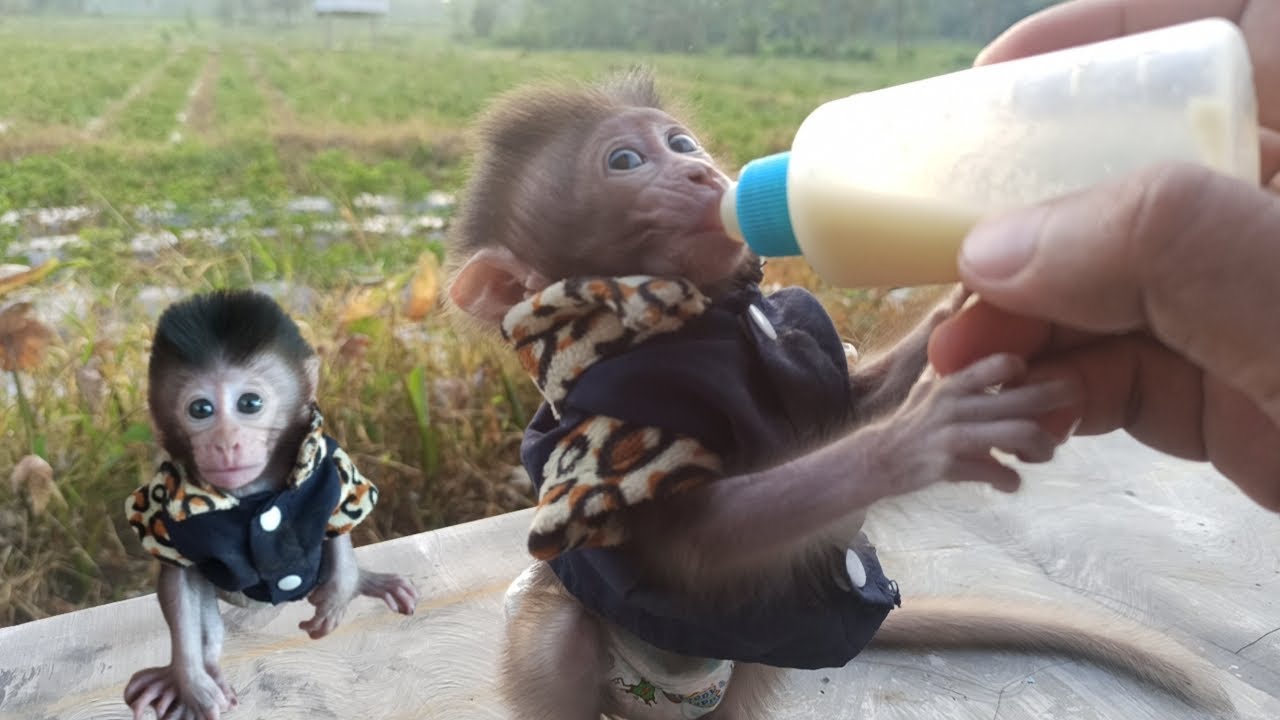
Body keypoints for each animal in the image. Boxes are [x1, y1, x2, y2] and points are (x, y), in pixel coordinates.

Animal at [121, 289, 419, 720]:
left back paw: (365, 581)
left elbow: (339, 515)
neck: (256, 492)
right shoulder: (163, 507)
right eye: (200, 410)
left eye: (249, 403)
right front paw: (189, 680)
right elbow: (180, 582)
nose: (226, 443)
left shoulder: (328, 457)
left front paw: (340, 592)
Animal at [444, 68, 1232, 720]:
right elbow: (692, 547)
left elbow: (848, 402)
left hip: (745, 667)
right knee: (557, 641)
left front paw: (968, 293)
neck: (713, 316)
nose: (701, 171)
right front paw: (914, 441)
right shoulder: (616, 420)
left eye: (680, 142)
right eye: (625, 162)